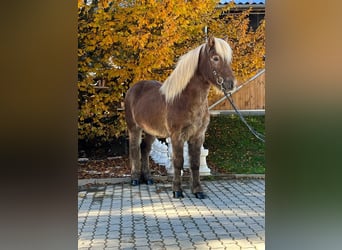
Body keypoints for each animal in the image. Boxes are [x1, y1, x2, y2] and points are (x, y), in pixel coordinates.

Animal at [124, 35, 236, 199]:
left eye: (229, 59)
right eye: (215, 58)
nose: (231, 84)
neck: (185, 99)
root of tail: (133, 89)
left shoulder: (198, 136)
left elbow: (195, 163)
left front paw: (198, 191)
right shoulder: (177, 136)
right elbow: (179, 162)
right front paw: (177, 190)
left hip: (151, 131)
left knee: (145, 149)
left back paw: (148, 178)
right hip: (134, 128)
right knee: (134, 149)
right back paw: (135, 179)